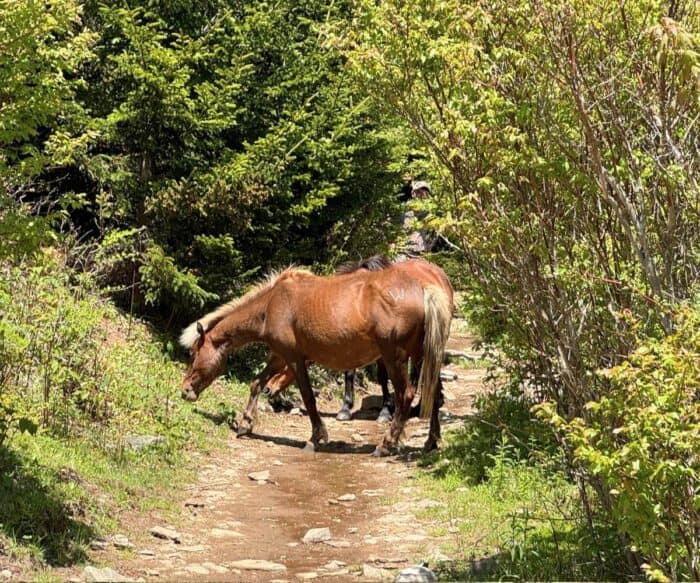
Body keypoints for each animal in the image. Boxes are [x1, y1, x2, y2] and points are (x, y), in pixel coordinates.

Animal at [180, 258, 453, 455]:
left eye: (192, 354)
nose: (185, 390)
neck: (271, 305)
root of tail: (425, 287)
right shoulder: (279, 356)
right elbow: (256, 383)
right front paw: (246, 424)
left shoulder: (294, 359)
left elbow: (308, 398)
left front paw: (316, 437)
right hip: (422, 355)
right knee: (434, 394)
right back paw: (431, 442)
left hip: (395, 357)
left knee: (405, 395)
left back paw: (386, 444)